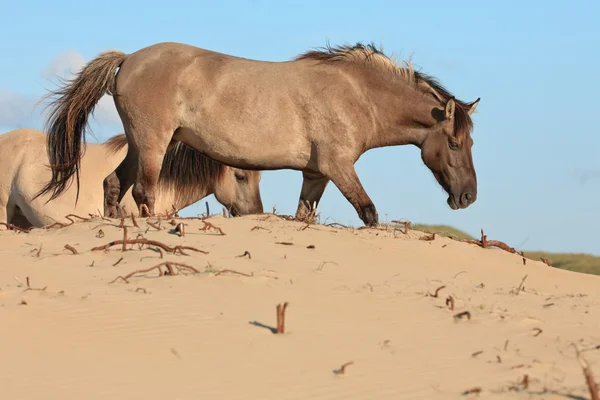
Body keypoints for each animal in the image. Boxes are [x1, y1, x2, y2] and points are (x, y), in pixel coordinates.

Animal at [36, 43, 478, 228]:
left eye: (470, 143)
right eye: (454, 143)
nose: (468, 197)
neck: (355, 93)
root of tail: (128, 59)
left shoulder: (316, 173)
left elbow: (304, 215)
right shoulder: (339, 167)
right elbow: (368, 214)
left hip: (139, 144)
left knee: (114, 183)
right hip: (153, 142)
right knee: (144, 191)